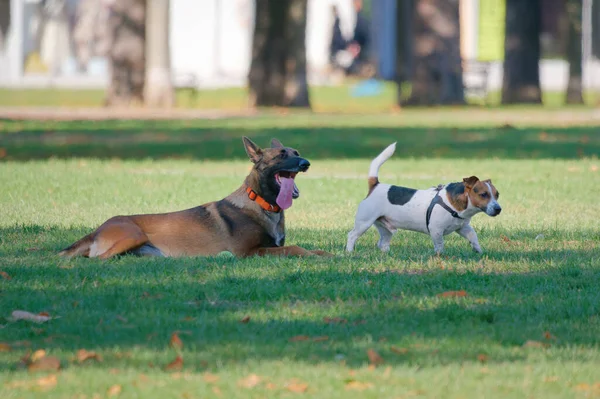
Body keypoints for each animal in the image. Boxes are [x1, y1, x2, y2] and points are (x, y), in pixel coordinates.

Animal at [59, 138, 332, 260]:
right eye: (282, 155)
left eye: (297, 152)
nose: (306, 163)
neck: (261, 204)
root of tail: (96, 230)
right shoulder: (248, 252)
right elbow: (295, 247)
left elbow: (314, 248)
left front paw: (328, 255)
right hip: (132, 235)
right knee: (95, 260)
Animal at [346, 144, 502, 255]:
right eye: (483, 194)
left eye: (497, 194)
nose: (498, 209)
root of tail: (375, 185)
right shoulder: (436, 230)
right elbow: (439, 246)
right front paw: (440, 257)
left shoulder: (463, 228)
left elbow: (473, 237)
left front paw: (478, 251)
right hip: (364, 222)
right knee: (352, 235)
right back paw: (349, 252)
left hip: (385, 228)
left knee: (382, 243)